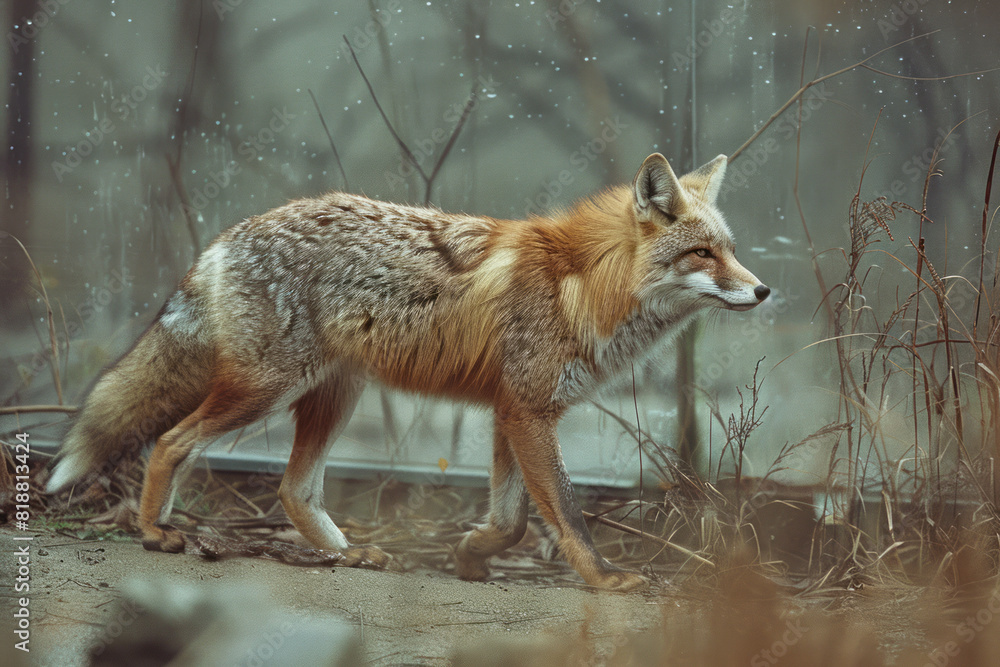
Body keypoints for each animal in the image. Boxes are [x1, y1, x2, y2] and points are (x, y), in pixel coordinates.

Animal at [46, 152, 768, 592]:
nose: (763, 291)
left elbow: (512, 521)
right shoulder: (528, 411)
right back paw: (152, 530)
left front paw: (470, 555)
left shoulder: (512, 411)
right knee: (171, 443)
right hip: (266, 389)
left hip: (334, 394)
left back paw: (345, 552)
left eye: (731, 249)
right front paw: (603, 579)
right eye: (703, 254)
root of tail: (227, 237)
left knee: (293, 489)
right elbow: (565, 509)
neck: (584, 286)